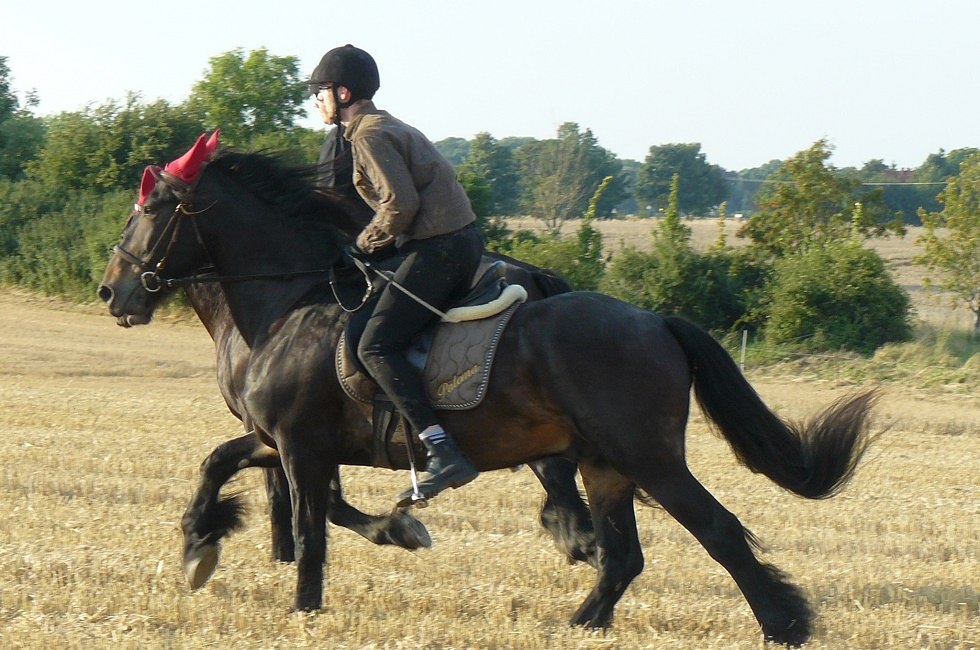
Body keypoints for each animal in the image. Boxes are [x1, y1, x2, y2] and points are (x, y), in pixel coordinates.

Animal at [99, 146, 880, 644]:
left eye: (151, 211)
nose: (114, 292)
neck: (288, 303)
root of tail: (655, 319)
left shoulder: (300, 444)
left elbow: (315, 526)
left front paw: (305, 604)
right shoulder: (284, 441)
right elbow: (221, 463)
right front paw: (200, 543)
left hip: (648, 458)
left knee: (715, 530)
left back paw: (784, 624)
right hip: (606, 464)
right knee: (624, 554)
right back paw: (582, 619)